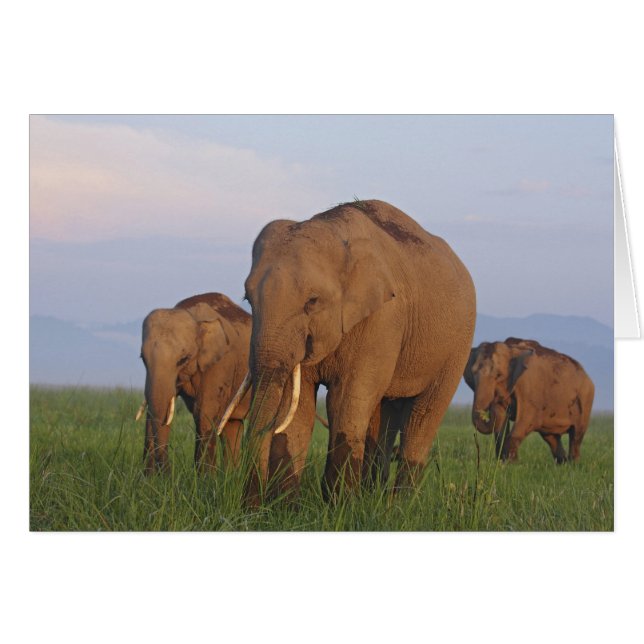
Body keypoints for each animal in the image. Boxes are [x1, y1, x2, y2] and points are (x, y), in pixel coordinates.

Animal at [137, 292, 251, 474]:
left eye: (183, 359)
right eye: (142, 358)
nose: (166, 473)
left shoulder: (220, 363)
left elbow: (204, 414)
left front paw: (205, 479)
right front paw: (148, 479)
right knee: (232, 424)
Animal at [219, 199, 476, 502]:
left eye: (312, 301)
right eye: (248, 299)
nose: (250, 506)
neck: (334, 228)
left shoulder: (383, 318)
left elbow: (345, 401)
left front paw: (338, 505)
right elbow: (298, 406)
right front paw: (286, 507)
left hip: (458, 345)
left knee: (423, 416)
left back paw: (397, 506)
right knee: (383, 415)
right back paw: (373, 499)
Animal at [464, 337, 595, 463]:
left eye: (499, 375)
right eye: (473, 373)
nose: (490, 409)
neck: (511, 349)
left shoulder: (529, 390)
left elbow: (526, 420)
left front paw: (510, 464)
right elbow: (501, 425)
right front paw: (504, 462)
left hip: (586, 399)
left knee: (576, 435)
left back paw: (573, 464)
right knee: (551, 437)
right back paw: (563, 463)